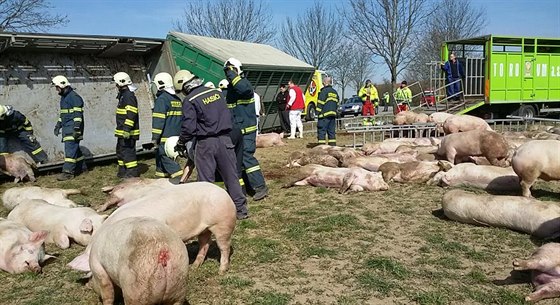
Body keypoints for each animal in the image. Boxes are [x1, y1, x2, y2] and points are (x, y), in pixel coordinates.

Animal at [69, 180, 237, 274]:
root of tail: (224, 192)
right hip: (204, 228)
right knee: (205, 243)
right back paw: (194, 267)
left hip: (223, 223)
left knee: (224, 247)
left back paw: (221, 271)